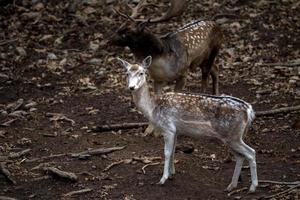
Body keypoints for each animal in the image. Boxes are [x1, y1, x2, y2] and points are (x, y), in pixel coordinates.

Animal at [117, 56, 258, 192]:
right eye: (127, 73)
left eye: (141, 73)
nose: (132, 87)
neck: (153, 108)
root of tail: (249, 110)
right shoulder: (176, 131)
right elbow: (173, 151)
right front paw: (172, 174)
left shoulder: (168, 128)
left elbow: (166, 153)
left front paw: (163, 179)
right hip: (233, 136)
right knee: (240, 156)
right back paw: (231, 185)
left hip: (233, 136)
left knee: (251, 152)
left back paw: (252, 187)